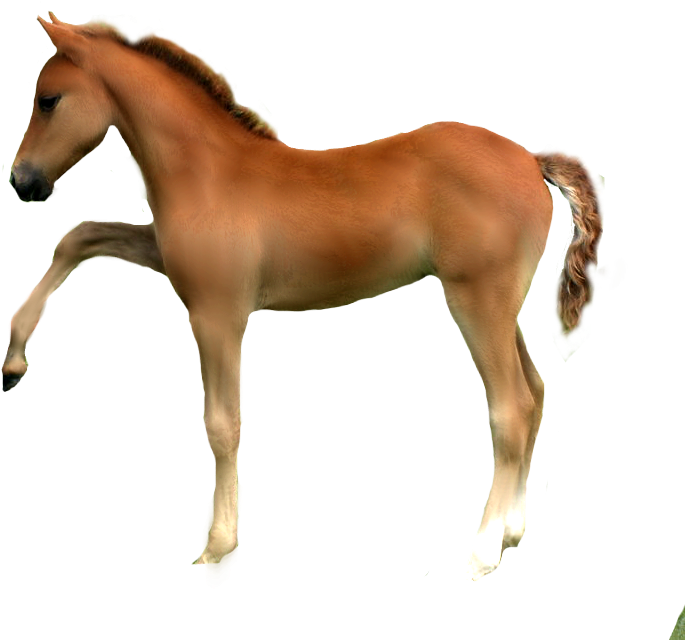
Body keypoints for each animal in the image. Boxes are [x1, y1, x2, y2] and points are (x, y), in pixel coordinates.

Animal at [6, 11, 604, 587]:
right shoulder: (168, 261)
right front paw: (13, 358)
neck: (208, 172)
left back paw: (479, 559)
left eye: (48, 99)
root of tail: (531, 159)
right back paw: (511, 534)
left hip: (476, 301)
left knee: (512, 408)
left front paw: (218, 553)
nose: (21, 181)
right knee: (537, 392)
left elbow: (221, 424)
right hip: (501, 310)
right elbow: (80, 235)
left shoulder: (216, 314)